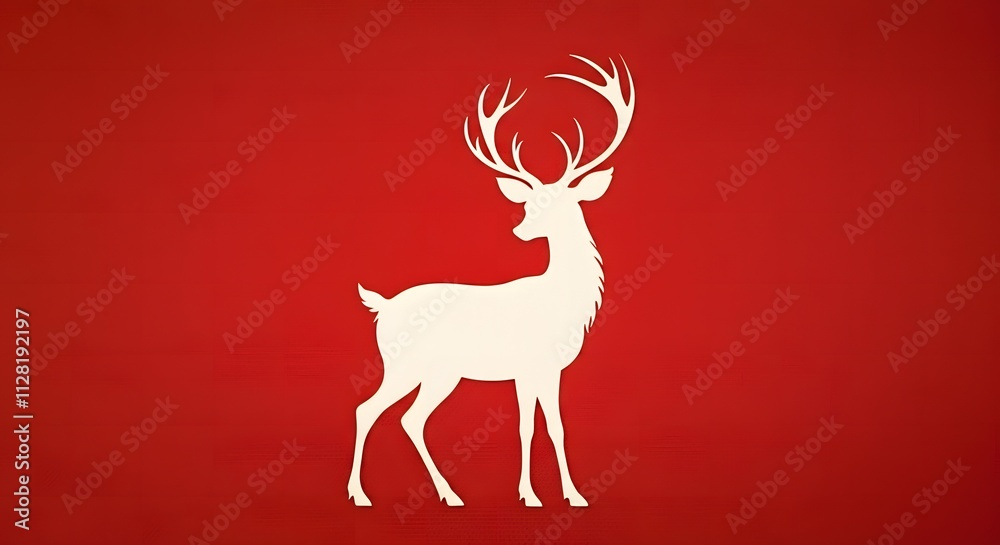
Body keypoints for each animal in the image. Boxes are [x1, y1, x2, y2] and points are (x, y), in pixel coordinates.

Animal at [349, 55, 634, 508]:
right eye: (532, 202)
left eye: (560, 203)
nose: (520, 230)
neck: (564, 303)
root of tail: (383, 306)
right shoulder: (533, 365)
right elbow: (533, 427)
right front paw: (534, 496)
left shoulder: (541, 369)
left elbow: (550, 427)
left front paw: (569, 495)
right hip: (403, 363)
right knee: (369, 410)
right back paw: (361, 495)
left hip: (440, 372)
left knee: (410, 419)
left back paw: (449, 494)